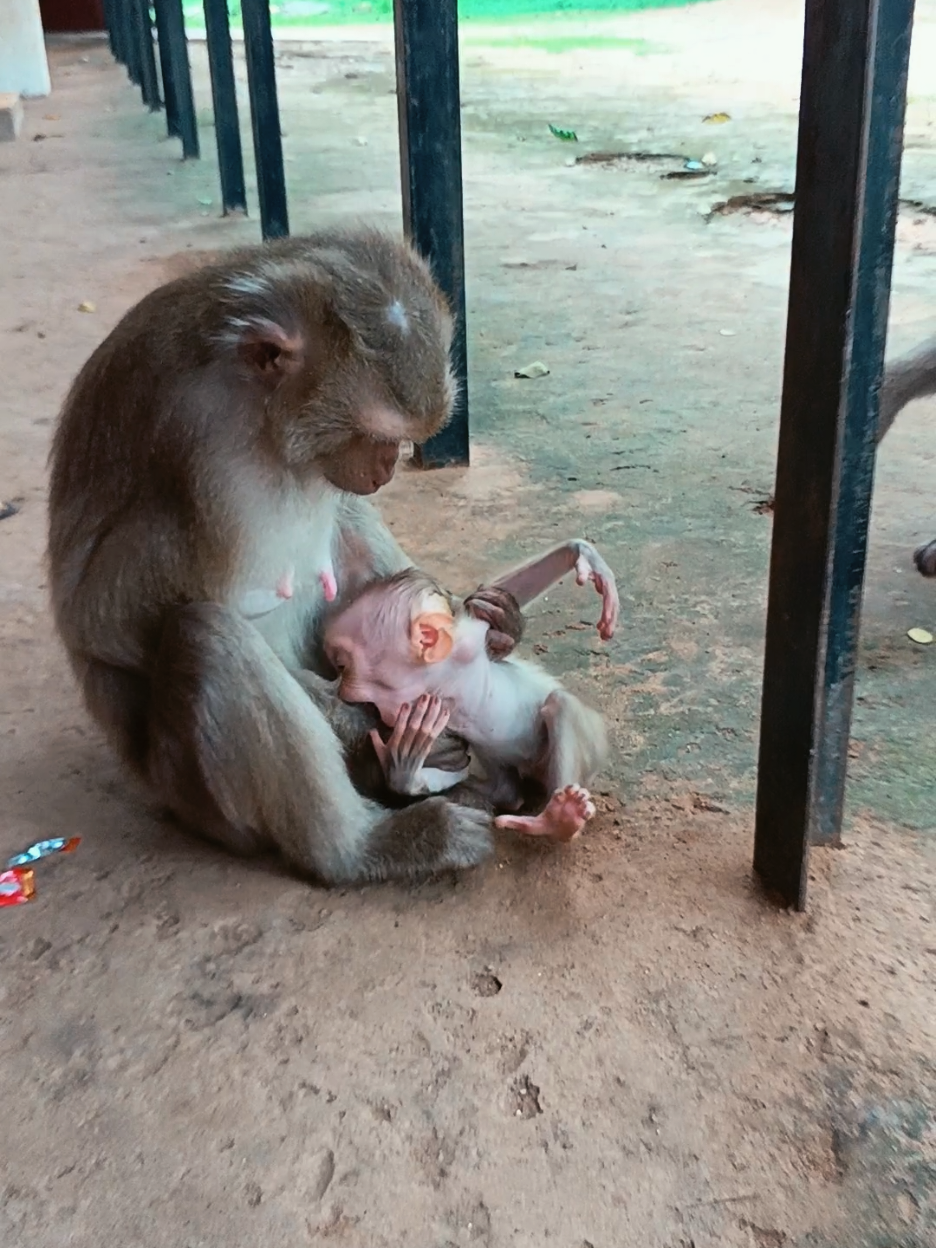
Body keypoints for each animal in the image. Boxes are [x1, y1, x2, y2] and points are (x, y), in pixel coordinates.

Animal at [46, 228, 527, 886]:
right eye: (374, 434)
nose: (386, 467)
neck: (261, 416)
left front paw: (494, 624)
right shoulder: (199, 444)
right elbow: (106, 622)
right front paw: (366, 722)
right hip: (197, 796)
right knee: (206, 634)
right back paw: (364, 847)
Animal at [321, 539, 619, 841]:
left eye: (343, 666)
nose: (343, 690)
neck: (438, 681)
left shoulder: (466, 646)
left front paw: (582, 554)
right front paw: (403, 771)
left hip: (593, 741)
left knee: (560, 704)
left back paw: (559, 820)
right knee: (506, 790)